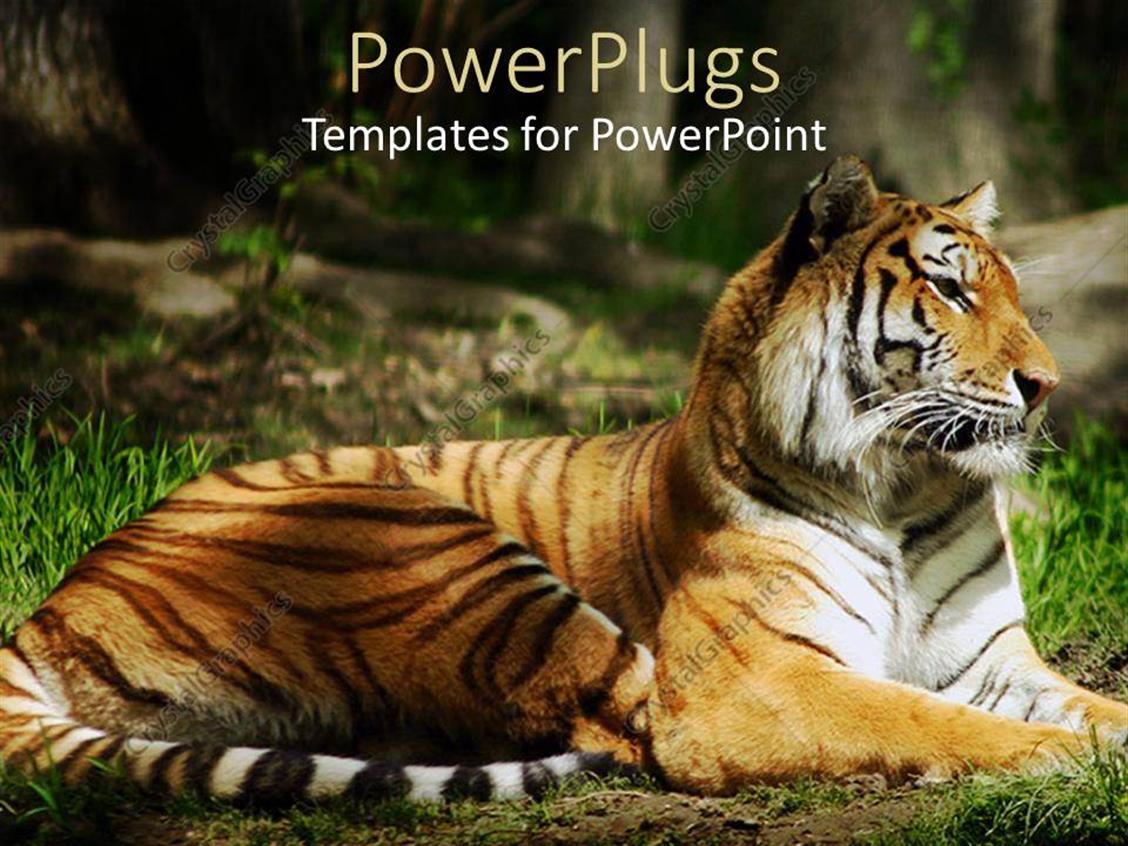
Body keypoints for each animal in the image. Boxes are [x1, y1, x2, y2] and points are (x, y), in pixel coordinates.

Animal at [1, 156, 1124, 805]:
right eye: (951, 288)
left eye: (1011, 289)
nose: (1047, 385)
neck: (901, 486)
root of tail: (55, 602)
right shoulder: (755, 676)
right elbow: (921, 718)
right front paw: (1073, 763)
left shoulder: (993, 660)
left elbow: (1085, 704)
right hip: (441, 550)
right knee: (626, 725)